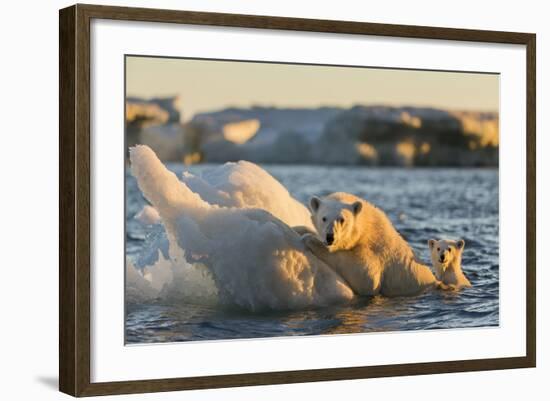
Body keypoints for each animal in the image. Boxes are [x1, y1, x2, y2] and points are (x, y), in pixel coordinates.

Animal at [304, 192, 442, 296]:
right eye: (324, 218)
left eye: (341, 219)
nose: (330, 237)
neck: (367, 225)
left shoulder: (375, 248)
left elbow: (367, 278)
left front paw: (311, 240)